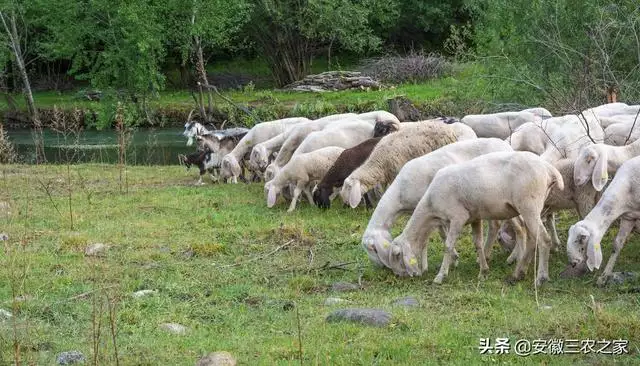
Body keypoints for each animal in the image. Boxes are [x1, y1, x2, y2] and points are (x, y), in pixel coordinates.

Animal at [360, 137, 516, 268]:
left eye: (374, 249)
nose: (382, 267)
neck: (400, 194)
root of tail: (507, 146)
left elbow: (440, 235)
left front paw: (451, 258)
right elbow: (440, 234)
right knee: (495, 225)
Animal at [388, 151, 564, 286]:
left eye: (397, 256)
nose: (399, 276)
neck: (430, 207)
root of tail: (548, 168)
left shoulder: (458, 217)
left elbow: (448, 245)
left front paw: (440, 276)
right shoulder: (474, 217)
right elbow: (478, 243)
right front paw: (483, 271)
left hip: (529, 205)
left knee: (544, 239)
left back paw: (540, 278)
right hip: (528, 208)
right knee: (532, 238)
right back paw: (518, 273)